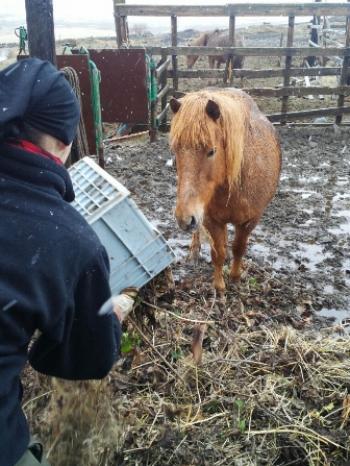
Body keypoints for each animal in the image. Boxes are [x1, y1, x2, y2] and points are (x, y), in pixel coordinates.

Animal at [170, 88, 282, 292]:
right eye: (175, 150)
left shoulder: (249, 221)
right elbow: (218, 252)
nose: (184, 218)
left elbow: (238, 248)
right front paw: (219, 286)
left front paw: (235, 277)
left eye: (211, 151)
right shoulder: (210, 219)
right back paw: (194, 252)